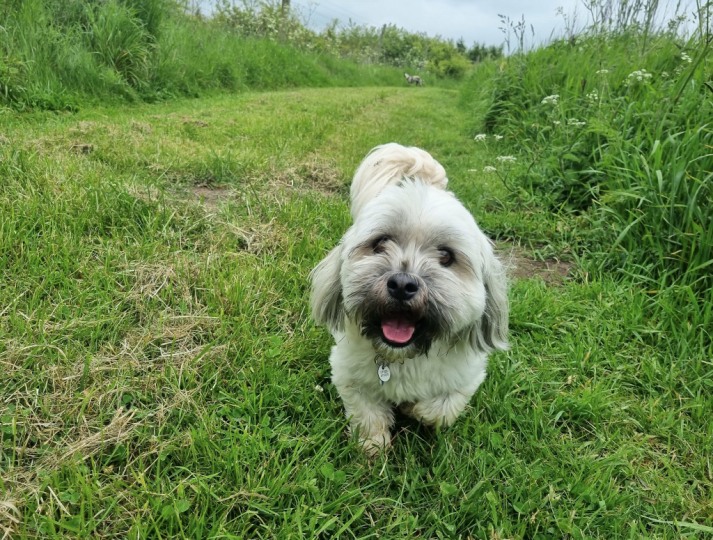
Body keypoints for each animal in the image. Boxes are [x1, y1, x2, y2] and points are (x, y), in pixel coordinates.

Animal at [310, 143, 508, 453]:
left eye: (446, 256)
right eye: (380, 243)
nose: (402, 285)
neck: (404, 357)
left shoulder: (467, 378)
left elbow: (438, 410)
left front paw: (412, 408)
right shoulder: (348, 375)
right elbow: (367, 413)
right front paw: (372, 444)